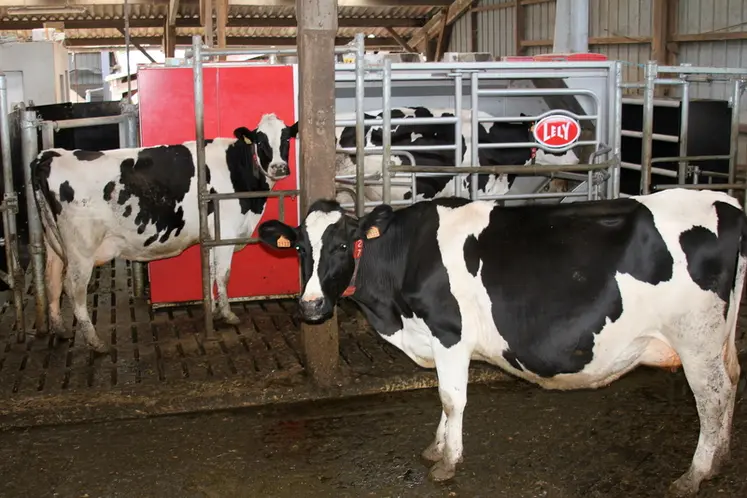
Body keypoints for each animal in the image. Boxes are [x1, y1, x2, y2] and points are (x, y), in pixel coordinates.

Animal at [31, 113, 298, 354]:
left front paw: (212, 309)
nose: (279, 168)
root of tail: (51, 155)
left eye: (286, 139)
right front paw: (228, 314)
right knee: (73, 287)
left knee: (51, 279)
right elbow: (223, 275)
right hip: (81, 249)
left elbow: (211, 272)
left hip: (53, 241)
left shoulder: (212, 235)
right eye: (261, 142)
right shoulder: (226, 230)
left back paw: (60, 329)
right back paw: (95, 341)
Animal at [256, 188, 746, 497]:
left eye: (342, 246)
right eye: (301, 248)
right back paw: (720, 459)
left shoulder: (449, 332)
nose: (311, 307)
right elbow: (445, 398)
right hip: (718, 339)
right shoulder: (439, 341)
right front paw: (437, 446)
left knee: (712, 398)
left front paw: (447, 462)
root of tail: (726, 202)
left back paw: (694, 474)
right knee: (733, 379)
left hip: (696, 338)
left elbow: (451, 398)